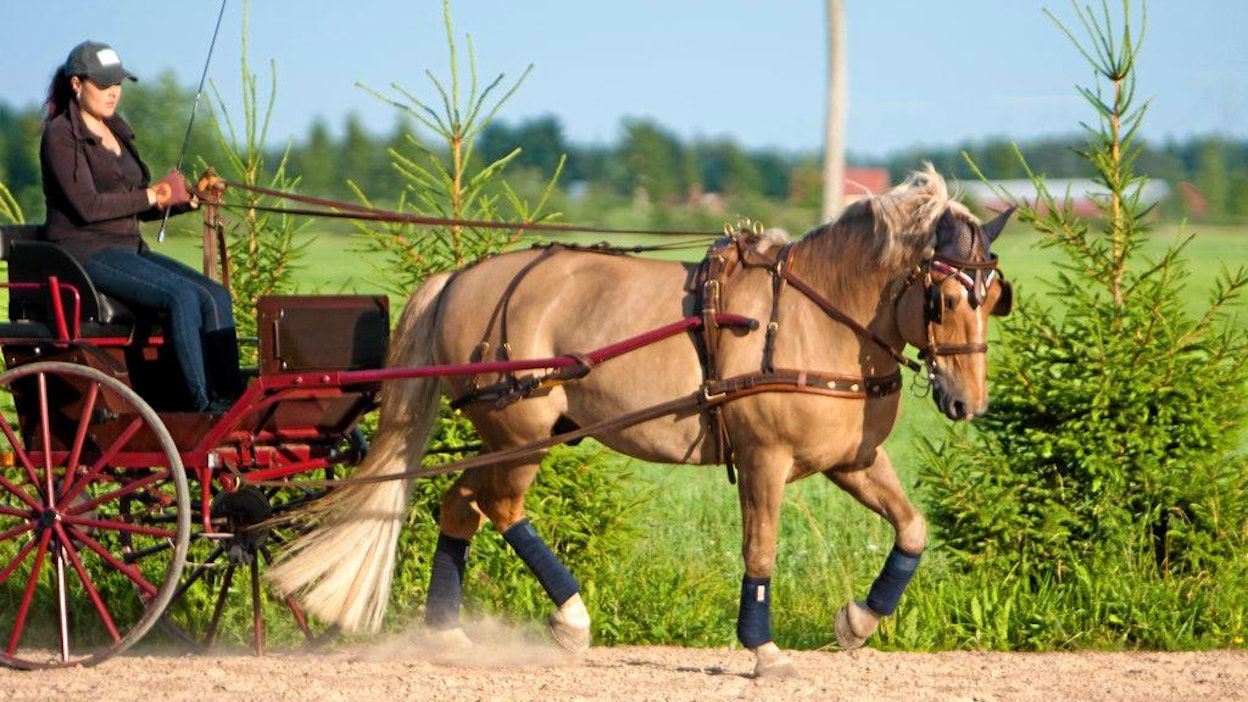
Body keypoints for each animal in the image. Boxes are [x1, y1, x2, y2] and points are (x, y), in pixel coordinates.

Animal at [266, 166, 1013, 677]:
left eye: (994, 297)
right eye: (946, 300)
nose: (968, 403)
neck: (815, 315)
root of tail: (462, 278)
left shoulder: (852, 460)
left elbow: (912, 529)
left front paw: (858, 621)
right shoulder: (764, 459)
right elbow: (760, 550)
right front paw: (763, 648)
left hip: (510, 437)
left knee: (462, 506)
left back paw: (447, 632)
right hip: (521, 431)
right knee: (502, 509)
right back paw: (570, 618)